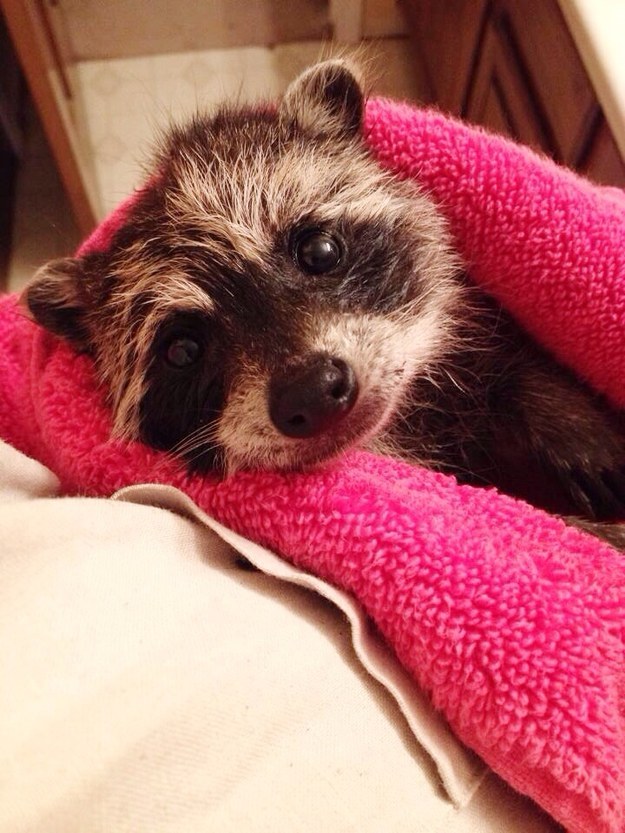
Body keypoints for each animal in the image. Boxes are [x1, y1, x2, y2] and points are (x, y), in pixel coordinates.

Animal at [22, 61, 624, 544]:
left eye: (319, 250)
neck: (402, 427)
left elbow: (519, 365)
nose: (312, 391)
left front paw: (561, 411)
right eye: (183, 350)